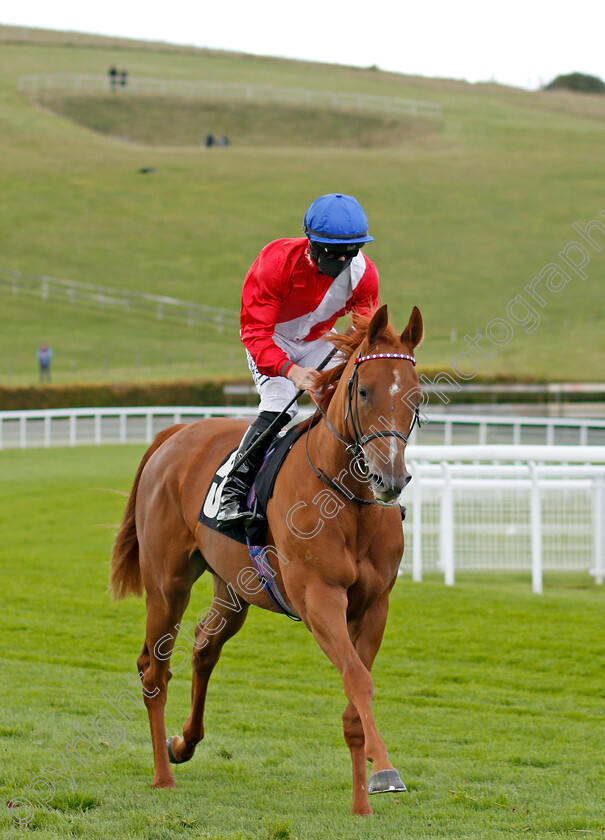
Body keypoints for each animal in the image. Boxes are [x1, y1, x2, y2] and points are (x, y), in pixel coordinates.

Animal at [109, 304, 420, 812]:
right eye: (364, 390)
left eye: (415, 395)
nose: (389, 478)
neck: (346, 501)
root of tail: (177, 433)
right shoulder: (319, 598)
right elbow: (357, 679)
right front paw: (385, 772)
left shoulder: (374, 606)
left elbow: (355, 698)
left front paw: (362, 802)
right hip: (167, 585)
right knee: (154, 670)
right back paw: (162, 775)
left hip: (234, 588)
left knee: (204, 648)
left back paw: (183, 743)